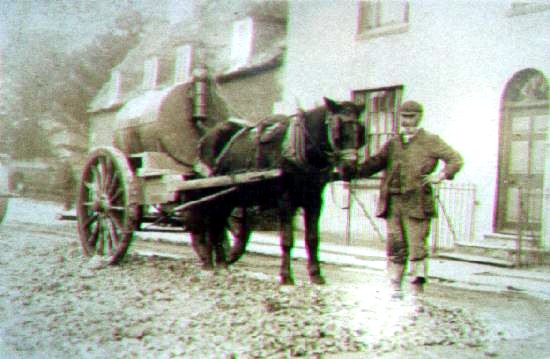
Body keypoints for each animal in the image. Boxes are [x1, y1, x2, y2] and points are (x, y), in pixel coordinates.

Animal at [190, 97, 366, 286]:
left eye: (360, 132)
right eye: (338, 130)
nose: (350, 169)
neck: (300, 148)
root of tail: (206, 137)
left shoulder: (314, 200)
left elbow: (312, 239)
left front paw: (316, 275)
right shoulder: (285, 199)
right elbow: (287, 239)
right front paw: (286, 276)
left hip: (228, 197)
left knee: (217, 224)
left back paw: (222, 263)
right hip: (211, 192)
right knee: (208, 223)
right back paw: (209, 263)